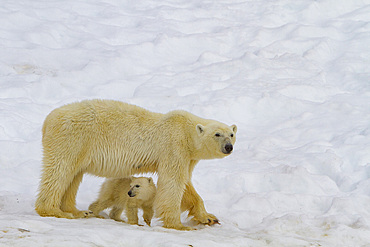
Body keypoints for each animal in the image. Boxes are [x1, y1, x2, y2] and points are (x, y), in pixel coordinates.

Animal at [35, 99, 237, 231]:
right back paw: (55, 211)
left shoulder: (187, 156)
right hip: (72, 138)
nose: (228, 147)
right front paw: (179, 225)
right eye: (217, 134)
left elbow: (185, 184)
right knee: (59, 170)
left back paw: (76, 211)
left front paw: (209, 218)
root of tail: (47, 120)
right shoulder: (174, 146)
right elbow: (173, 182)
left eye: (231, 134)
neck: (186, 131)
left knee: (73, 176)